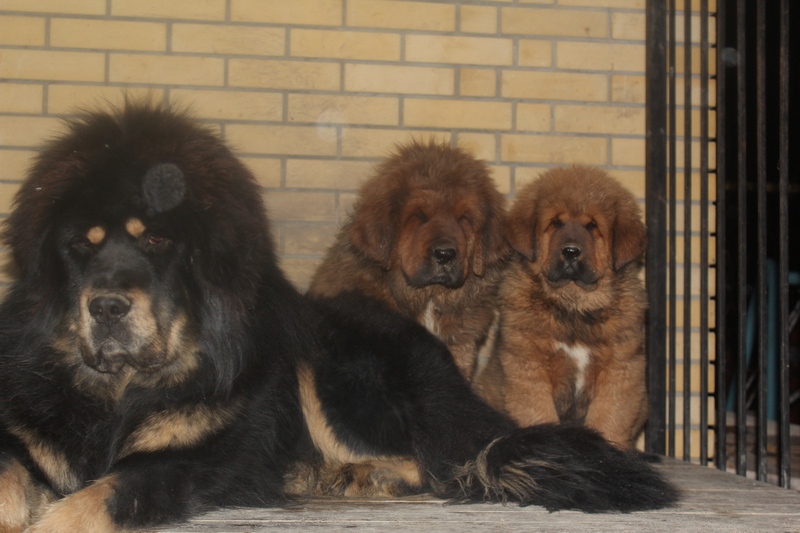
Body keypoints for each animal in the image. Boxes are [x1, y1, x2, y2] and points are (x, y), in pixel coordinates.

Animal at [478, 166, 648, 448]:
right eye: (555, 223)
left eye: (592, 227)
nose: (570, 251)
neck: (573, 306)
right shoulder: (528, 366)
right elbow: (538, 413)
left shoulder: (620, 370)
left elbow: (609, 421)